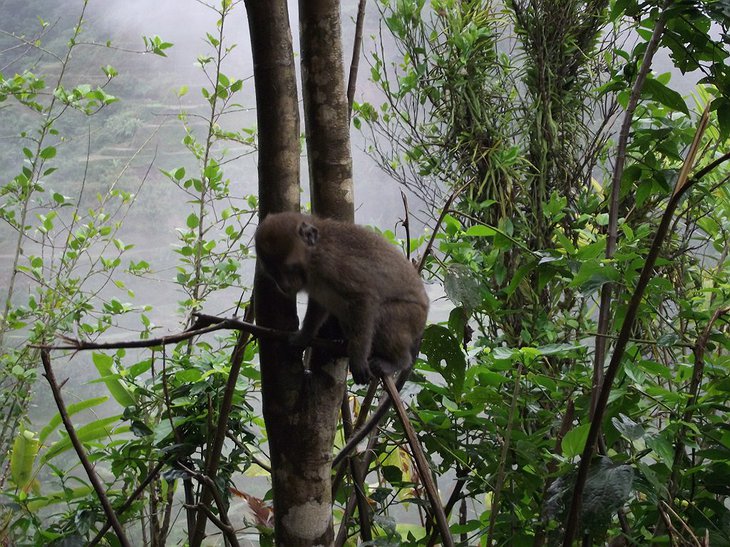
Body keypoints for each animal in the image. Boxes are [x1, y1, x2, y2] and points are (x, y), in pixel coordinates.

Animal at [255, 212, 426, 388]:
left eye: (289, 268)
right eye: (274, 272)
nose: (284, 286)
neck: (314, 256)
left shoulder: (334, 265)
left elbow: (363, 298)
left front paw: (358, 359)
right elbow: (318, 305)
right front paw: (304, 336)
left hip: (412, 316)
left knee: (383, 315)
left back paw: (398, 361)